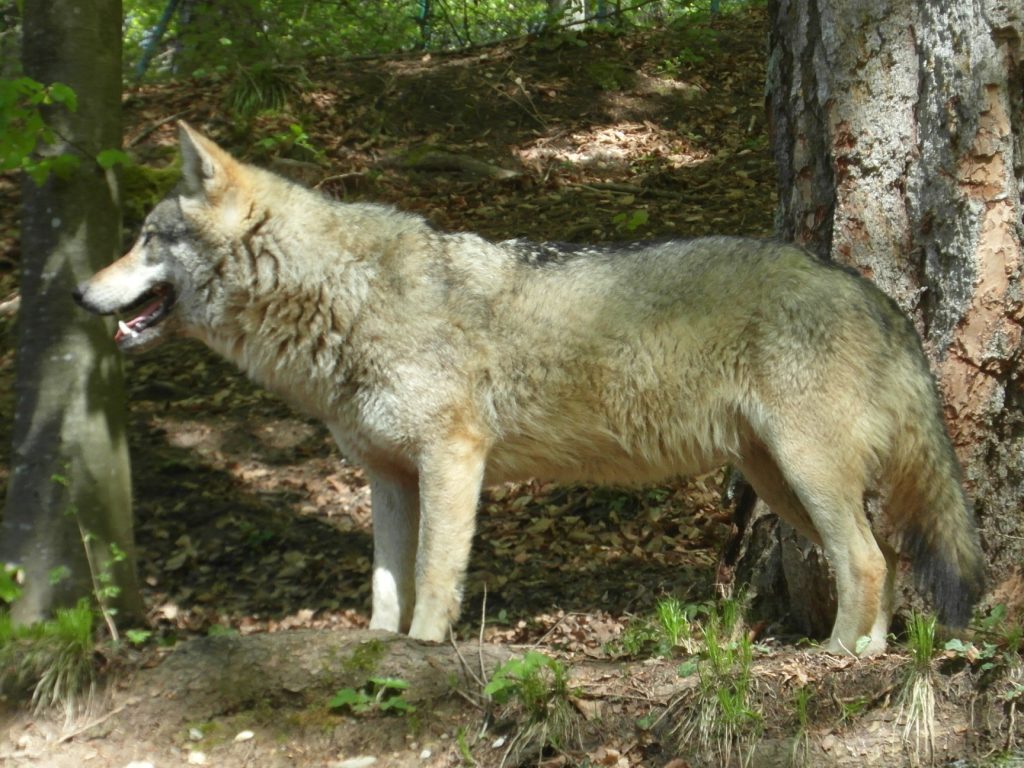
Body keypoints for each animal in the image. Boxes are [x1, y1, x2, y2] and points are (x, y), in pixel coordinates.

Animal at [74, 123, 984, 655]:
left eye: (145, 239)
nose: (80, 294)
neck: (344, 297)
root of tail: (871, 291)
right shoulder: (388, 479)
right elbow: (384, 587)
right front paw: (378, 651)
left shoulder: (452, 461)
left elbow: (434, 580)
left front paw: (425, 654)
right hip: (781, 481)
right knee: (882, 559)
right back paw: (867, 653)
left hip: (803, 473)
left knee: (867, 559)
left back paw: (834, 660)